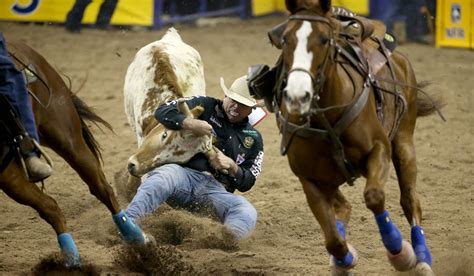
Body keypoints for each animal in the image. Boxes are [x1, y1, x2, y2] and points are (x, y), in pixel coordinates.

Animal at [0, 39, 146, 268]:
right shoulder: (6, 172)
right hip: (12, 177)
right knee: (49, 206)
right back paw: (71, 259)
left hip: (67, 138)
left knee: (101, 189)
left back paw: (135, 237)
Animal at [266, 0, 444, 276]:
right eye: (285, 39)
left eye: (325, 39)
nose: (297, 95)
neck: (326, 118)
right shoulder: (309, 179)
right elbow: (333, 240)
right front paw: (344, 259)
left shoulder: (380, 149)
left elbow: (374, 196)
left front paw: (401, 254)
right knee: (343, 207)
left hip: (404, 142)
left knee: (410, 200)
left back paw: (422, 259)